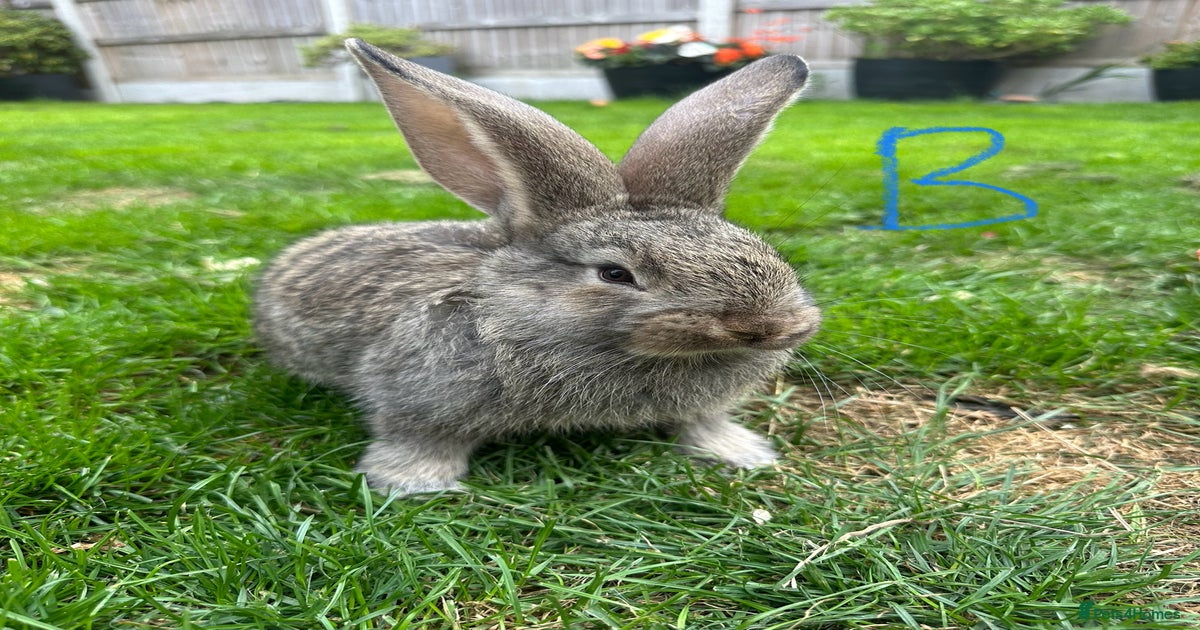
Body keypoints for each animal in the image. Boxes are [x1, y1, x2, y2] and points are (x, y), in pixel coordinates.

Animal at [254, 38, 821, 495]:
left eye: (762, 248)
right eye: (613, 274)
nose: (765, 326)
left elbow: (702, 422)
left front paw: (741, 453)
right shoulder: (414, 397)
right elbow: (418, 438)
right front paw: (410, 483)